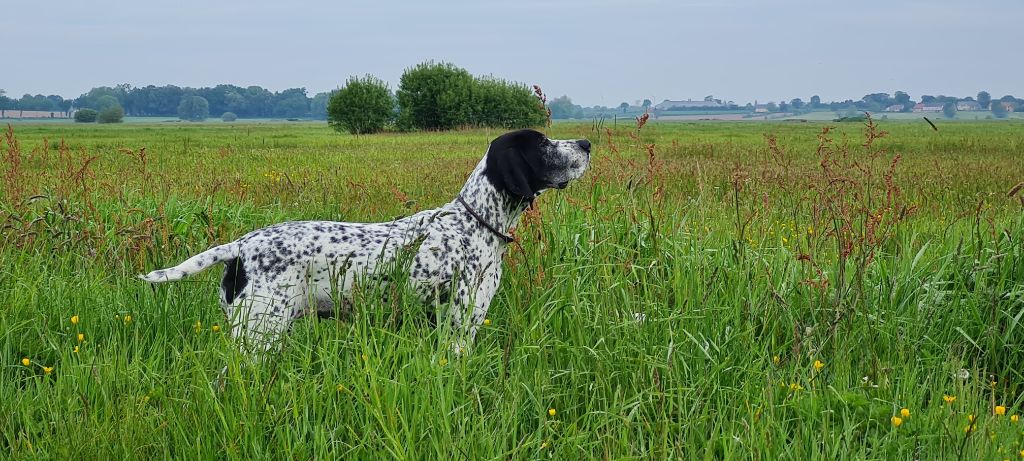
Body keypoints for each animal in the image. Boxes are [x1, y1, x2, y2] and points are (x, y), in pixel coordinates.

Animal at [142, 129, 593, 352]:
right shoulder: (458, 328)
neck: (474, 222)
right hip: (258, 333)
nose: (587, 143)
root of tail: (240, 246)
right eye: (543, 143)